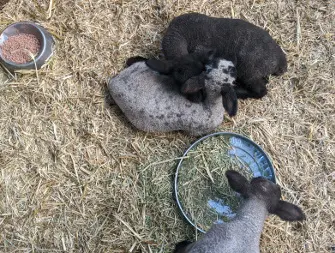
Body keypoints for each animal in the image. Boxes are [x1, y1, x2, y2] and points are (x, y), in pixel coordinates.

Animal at [147, 12, 288, 100]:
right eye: (178, 81)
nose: (198, 99)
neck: (179, 34)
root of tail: (280, 60)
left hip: (249, 71)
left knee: (261, 91)